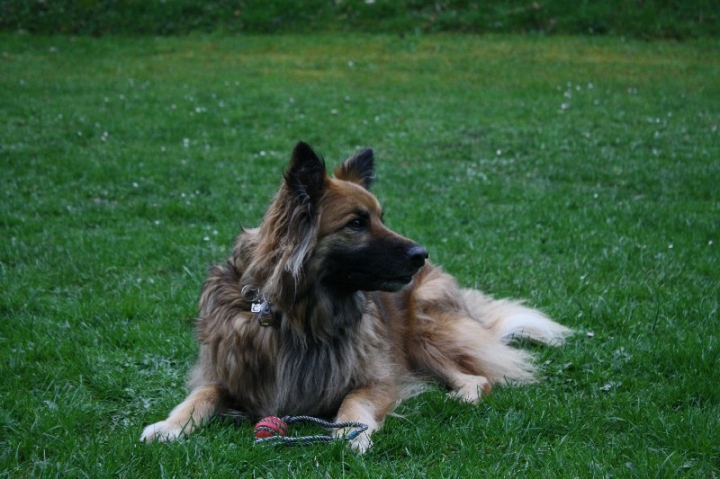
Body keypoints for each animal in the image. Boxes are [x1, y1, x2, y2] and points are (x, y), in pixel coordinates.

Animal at [139, 142, 568, 454]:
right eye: (357, 222)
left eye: (381, 217)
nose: (421, 254)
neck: (295, 316)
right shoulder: (227, 372)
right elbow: (199, 396)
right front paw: (168, 426)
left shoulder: (380, 378)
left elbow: (353, 405)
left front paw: (351, 434)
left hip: (424, 334)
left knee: (477, 378)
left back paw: (457, 397)